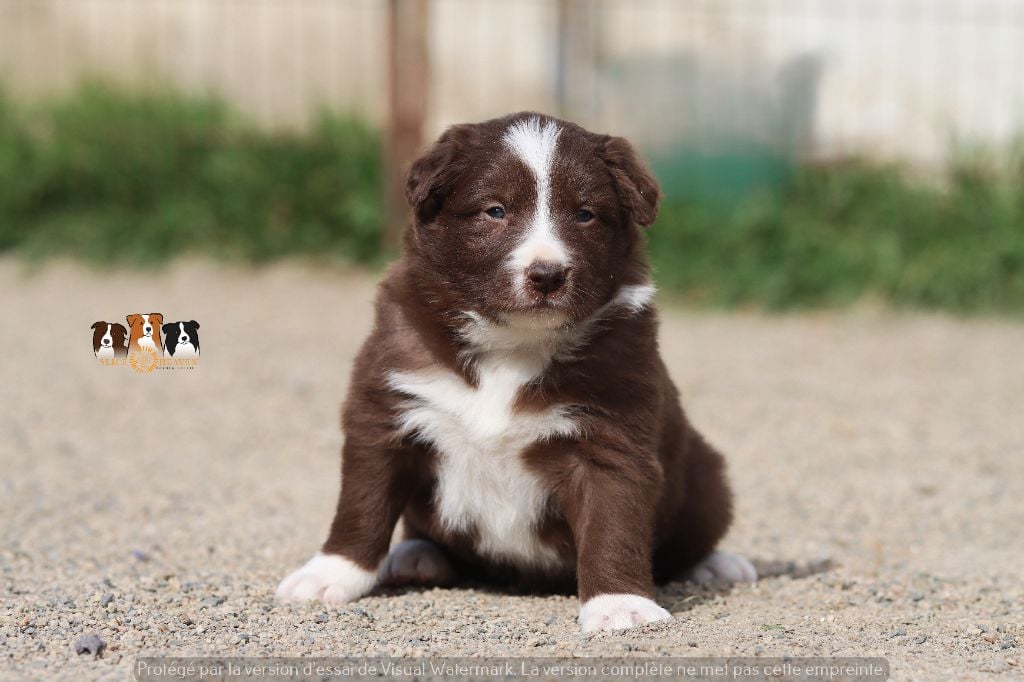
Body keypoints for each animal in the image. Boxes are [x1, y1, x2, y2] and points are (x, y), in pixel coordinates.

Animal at [276, 112, 757, 630]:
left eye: (585, 214)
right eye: (495, 211)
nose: (547, 275)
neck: (512, 345)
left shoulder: (612, 434)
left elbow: (614, 525)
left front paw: (619, 605)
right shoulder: (385, 409)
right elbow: (361, 504)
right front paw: (327, 575)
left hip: (705, 474)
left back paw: (716, 563)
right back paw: (416, 556)